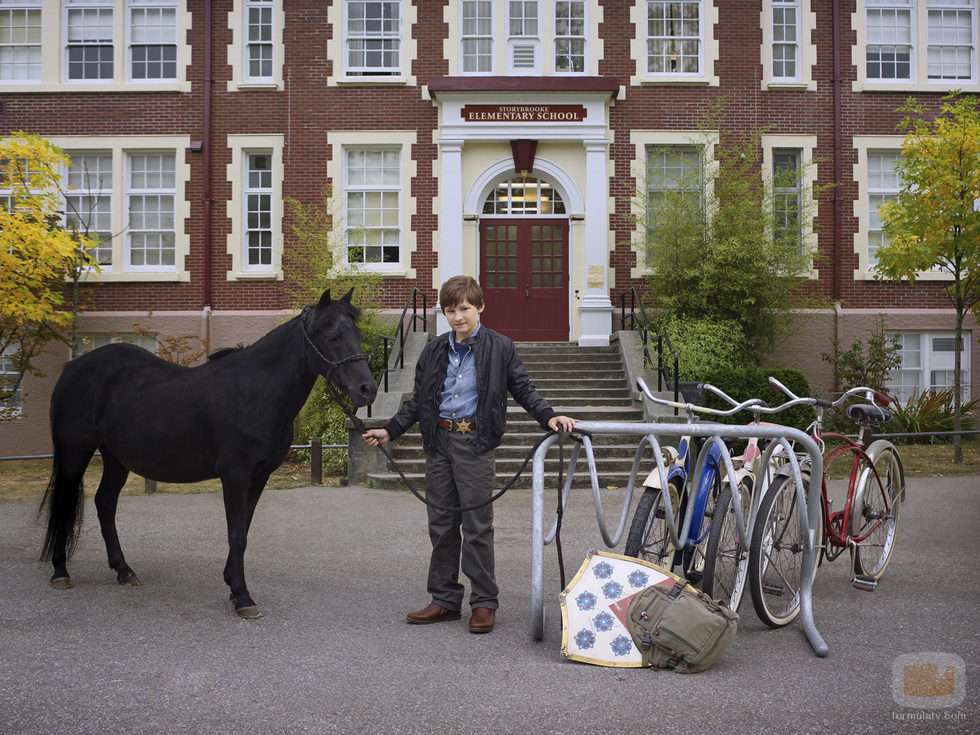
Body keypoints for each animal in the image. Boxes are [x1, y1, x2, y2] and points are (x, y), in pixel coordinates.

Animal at [39, 288, 376, 616]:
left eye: (358, 334)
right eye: (332, 336)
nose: (367, 389)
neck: (255, 392)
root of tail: (73, 367)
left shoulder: (259, 477)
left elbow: (244, 528)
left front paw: (232, 583)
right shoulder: (235, 475)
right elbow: (236, 533)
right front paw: (243, 596)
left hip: (115, 459)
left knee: (105, 503)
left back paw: (124, 570)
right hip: (75, 454)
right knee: (65, 502)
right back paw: (60, 572)